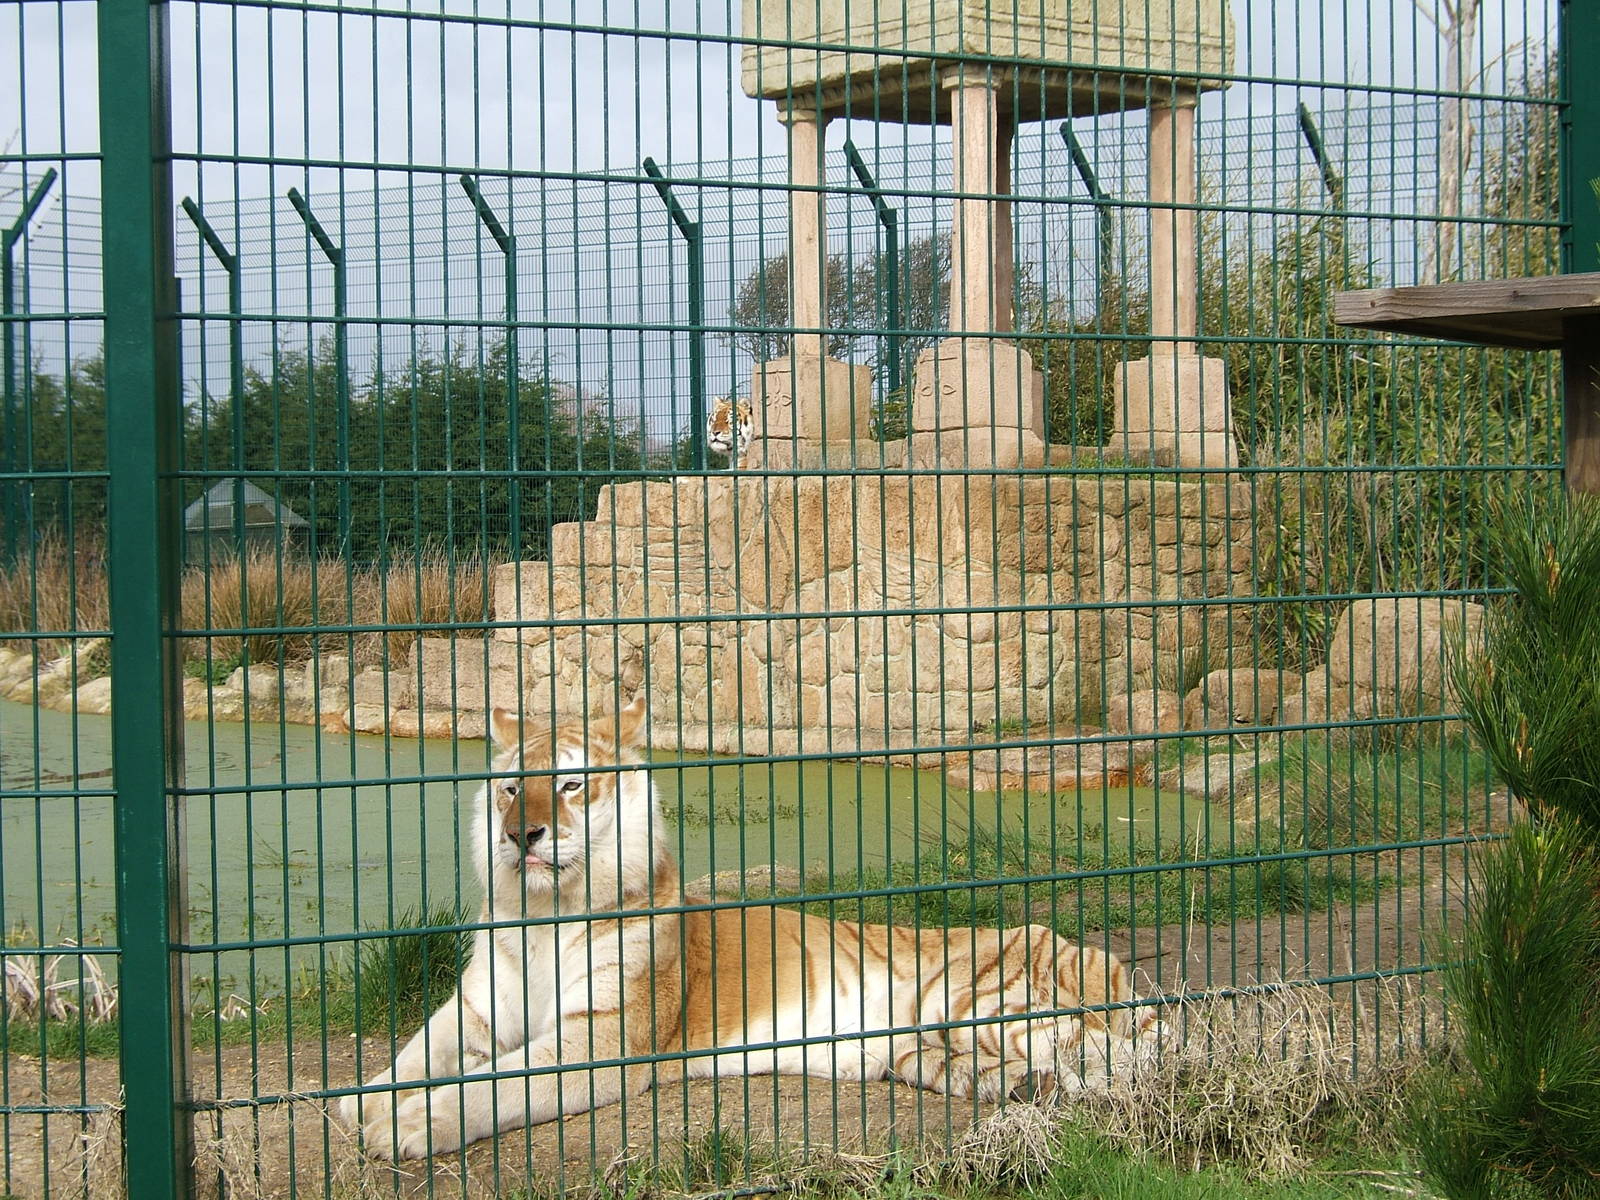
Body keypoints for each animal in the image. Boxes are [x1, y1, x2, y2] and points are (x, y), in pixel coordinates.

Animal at [338, 697, 1163, 1161]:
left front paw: (409, 1125)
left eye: (570, 783)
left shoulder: (599, 1038)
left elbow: (494, 1083)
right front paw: (361, 1101)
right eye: (511, 787)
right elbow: (415, 1055)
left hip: (982, 1001)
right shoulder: (476, 1010)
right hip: (926, 1049)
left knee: (1130, 1058)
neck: (544, 913)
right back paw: (1027, 1088)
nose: (522, 835)